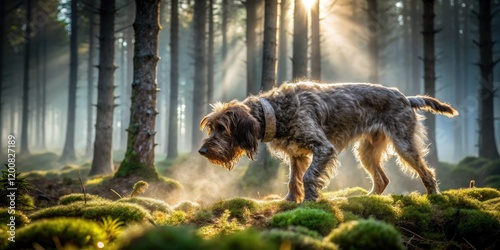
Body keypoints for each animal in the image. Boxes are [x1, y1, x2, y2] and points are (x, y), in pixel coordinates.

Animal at [198, 82, 458, 203]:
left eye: (222, 128)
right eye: (211, 127)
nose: (202, 150)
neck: (275, 110)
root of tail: (405, 97)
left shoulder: (323, 148)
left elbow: (308, 177)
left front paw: (309, 200)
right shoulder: (297, 155)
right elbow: (293, 179)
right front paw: (290, 200)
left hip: (404, 145)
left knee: (427, 172)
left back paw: (433, 195)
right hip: (367, 151)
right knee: (382, 179)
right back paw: (367, 198)